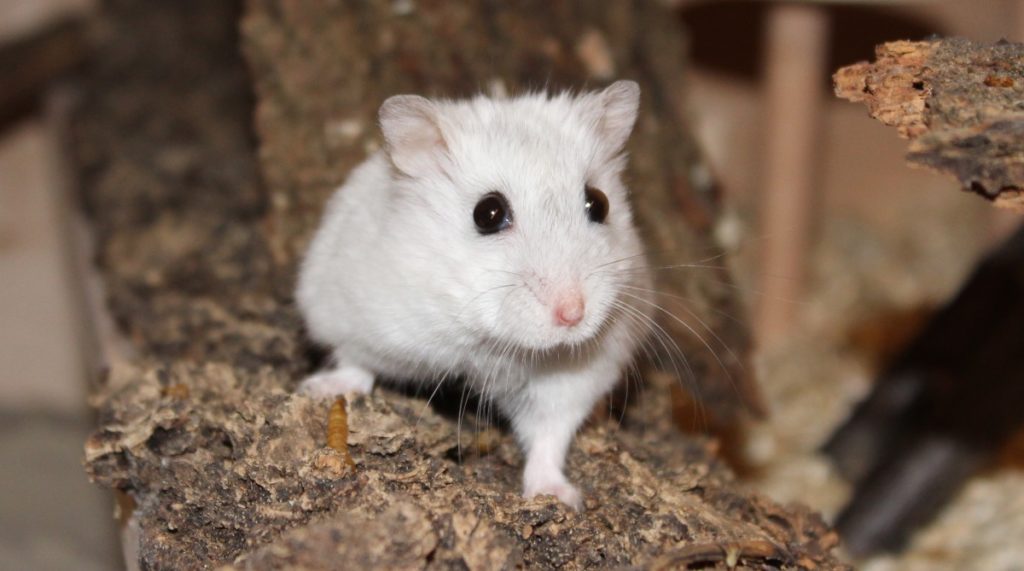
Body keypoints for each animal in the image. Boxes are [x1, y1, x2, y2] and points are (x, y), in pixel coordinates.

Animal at [296, 80, 654, 508]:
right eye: (488, 213)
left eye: (598, 203)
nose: (573, 315)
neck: (489, 338)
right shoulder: (357, 310)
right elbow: (354, 360)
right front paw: (316, 388)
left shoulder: (572, 380)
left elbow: (549, 438)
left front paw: (560, 498)